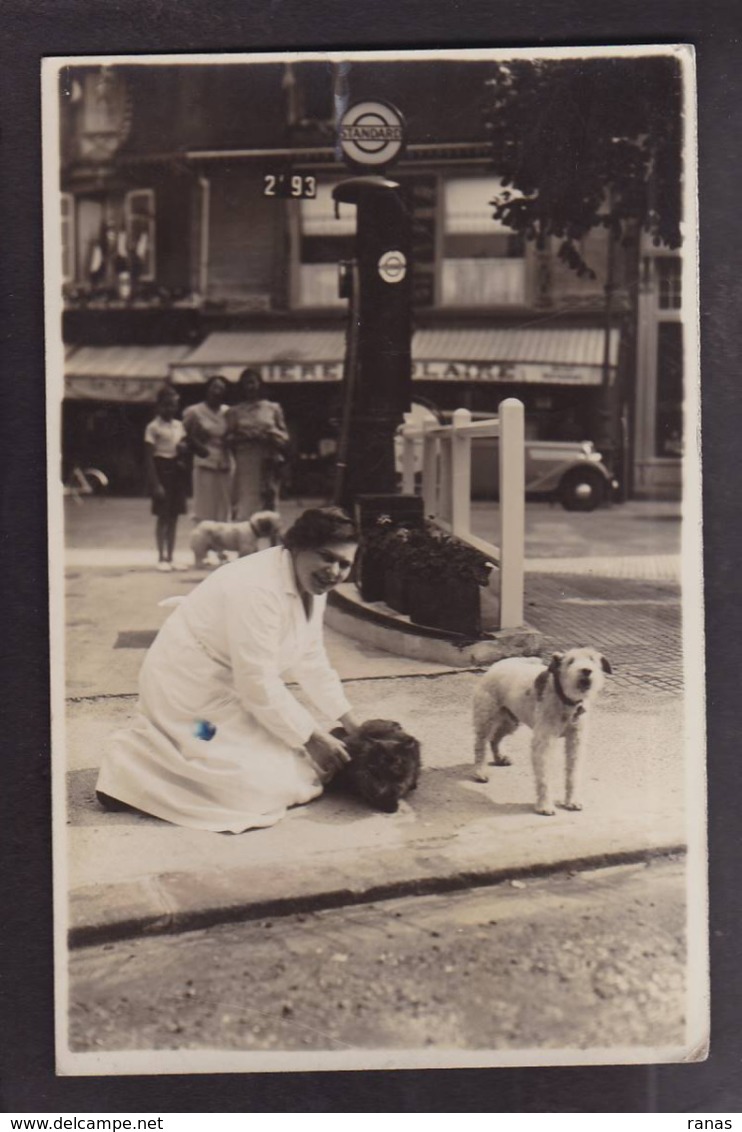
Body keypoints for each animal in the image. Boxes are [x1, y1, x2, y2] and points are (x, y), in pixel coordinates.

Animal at [473, 652, 611, 819]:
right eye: (570, 661)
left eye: (592, 660)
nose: (586, 670)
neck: (565, 700)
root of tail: (496, 665)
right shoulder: (544, 742)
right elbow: (544, 777)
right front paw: (544, 806)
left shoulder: (576, 741)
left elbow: (573, 773)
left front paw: (572, 801)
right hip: (486, 719)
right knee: (480, 746)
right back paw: (480, 772)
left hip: (511, 721)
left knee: (495, 739)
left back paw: (500, 758)